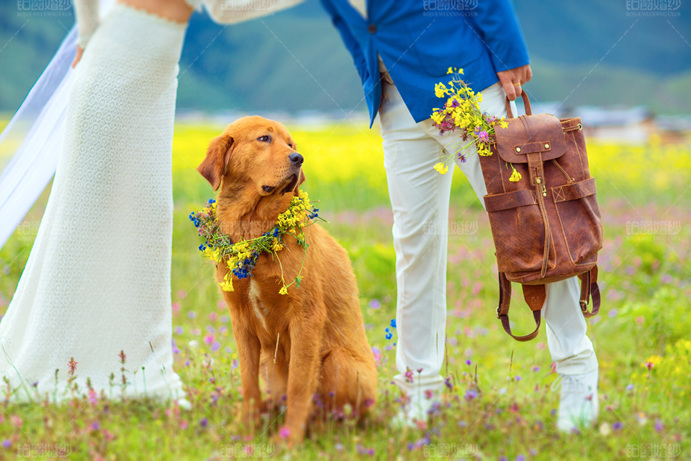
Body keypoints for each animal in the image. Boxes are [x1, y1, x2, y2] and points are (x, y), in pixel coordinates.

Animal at [195, 116, 378, 446]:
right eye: (264, 139)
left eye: (291, 143)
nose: (298, 158)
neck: (253, 228)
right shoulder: (240, 319)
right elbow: (248, 384)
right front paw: (245, 430)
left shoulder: (306, 317)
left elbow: (298, 385)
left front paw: (289, 440)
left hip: (338, 361)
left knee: (341, 415)